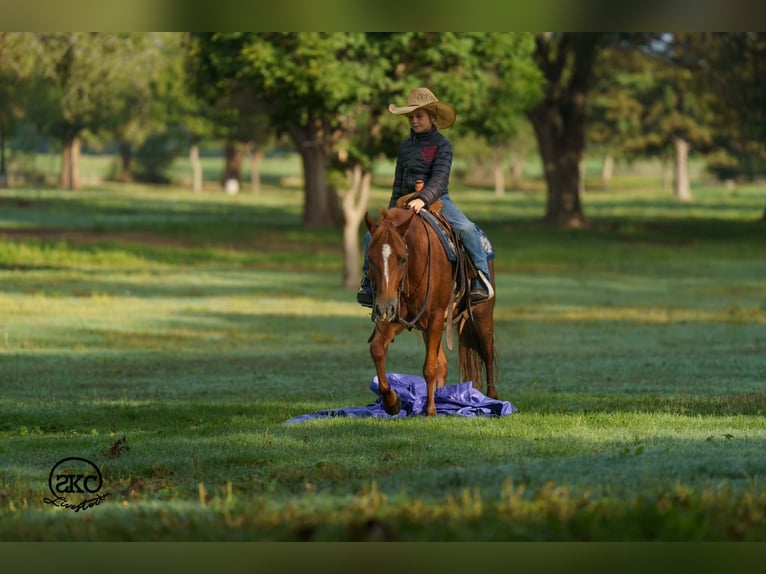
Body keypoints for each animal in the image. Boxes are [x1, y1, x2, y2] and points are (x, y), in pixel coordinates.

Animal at [363, 206, 498, 417]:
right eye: (370, 258)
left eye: (402, 259)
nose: (384, 308)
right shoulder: (396, 317)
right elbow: (377, 349)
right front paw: (392, 402)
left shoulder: (435, 316)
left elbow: (429, 367)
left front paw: (430, 409)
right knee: (443, 363)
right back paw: (443, 399)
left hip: (482, 316)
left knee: (487, 354)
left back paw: (493, 399)